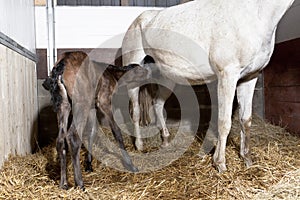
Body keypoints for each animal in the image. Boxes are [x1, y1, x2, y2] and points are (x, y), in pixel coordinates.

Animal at [42, 51, 149, 189]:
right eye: (140, 70)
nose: (149, 72)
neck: (111, 74)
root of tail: (62, 63)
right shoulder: (105, 102)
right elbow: (117, 132)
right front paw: (131, 165)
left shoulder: (93, 107)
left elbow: (92, 131)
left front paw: (89, 165)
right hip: (81, 103)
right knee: (73, 136)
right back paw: (79, 183)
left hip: (64, 105)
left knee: (60, 140)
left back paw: (63, 183)